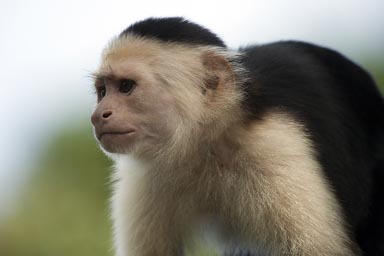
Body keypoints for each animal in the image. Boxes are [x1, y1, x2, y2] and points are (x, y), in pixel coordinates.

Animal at [91, 17, 384, 255]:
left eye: (126, 86)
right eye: (102, 91)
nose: (97, 115)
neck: (205, 142)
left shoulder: (274, 146)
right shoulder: (145, 178)